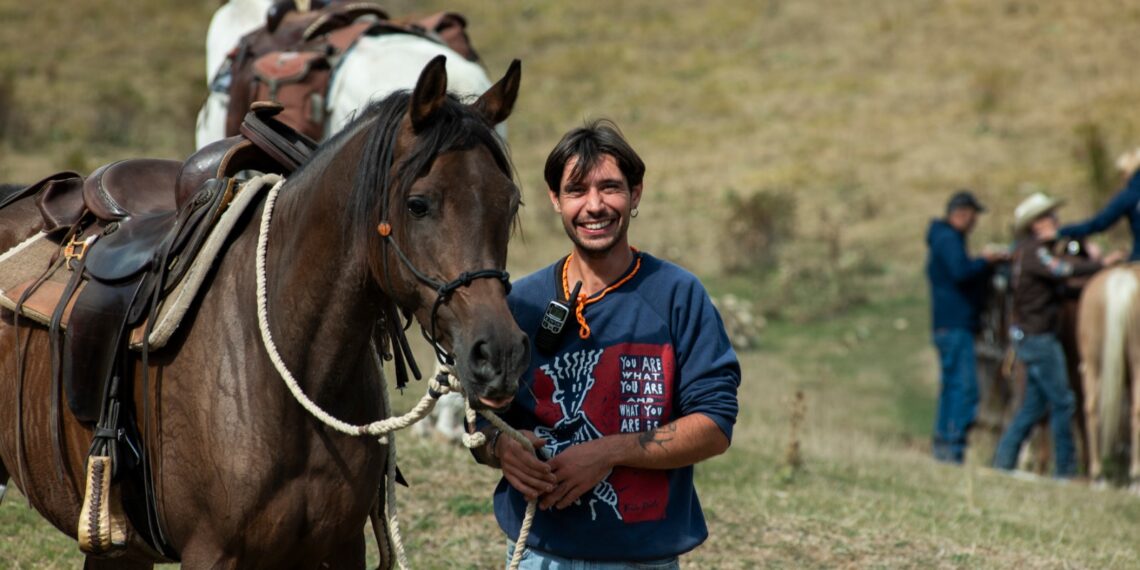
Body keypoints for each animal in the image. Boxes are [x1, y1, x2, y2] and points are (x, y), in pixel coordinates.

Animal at [1077, 264, 1140, 486]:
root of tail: (1121, 279)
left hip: (1092, 361)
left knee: (1091, 407)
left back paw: (1097, 473)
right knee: (1137, 410)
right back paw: (1135, 474)